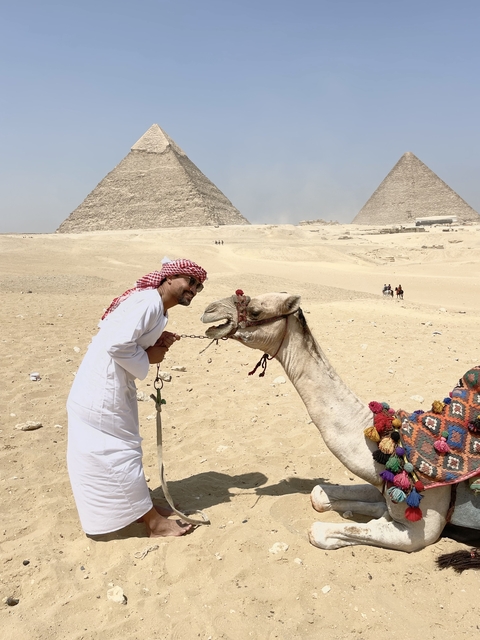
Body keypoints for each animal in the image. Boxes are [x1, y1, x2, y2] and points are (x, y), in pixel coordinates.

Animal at [201, 291, 480, 555]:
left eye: (256, 311)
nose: (209, 311)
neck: (390, 442)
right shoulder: (382, 483)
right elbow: (319, 494)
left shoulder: (421, 529)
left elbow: (319, 531)